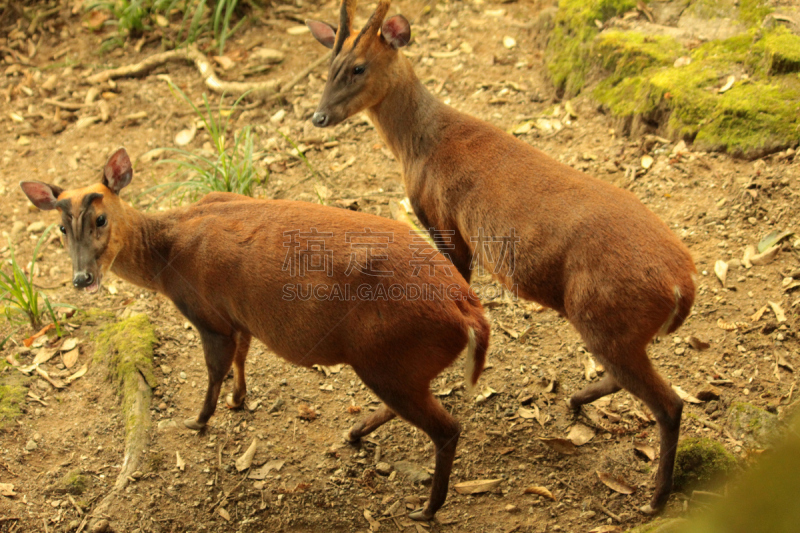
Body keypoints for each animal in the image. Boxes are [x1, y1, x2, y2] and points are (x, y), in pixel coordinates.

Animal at [21, 145, 490, 520]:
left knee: (447, 428)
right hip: (397, 364)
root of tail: (468, 310)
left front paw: (198, 420)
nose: (82, 278)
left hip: (387, 354)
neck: (165, 258)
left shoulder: (207, 314)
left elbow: (215, 369)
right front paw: (238, 399)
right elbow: (242, 356)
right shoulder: (236, 315)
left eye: (101, 218)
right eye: (61, 228)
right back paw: (356, 433)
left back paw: (427, 509)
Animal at [310, 0, 696, 516]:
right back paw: (577, 401)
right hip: (618, 328)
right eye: (328, 65)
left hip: (603, 315)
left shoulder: (444, 221)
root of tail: (683, 283)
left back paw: (655, 498)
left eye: (358, 67)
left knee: (669, 404)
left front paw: (367, 424)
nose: (319, 116)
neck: (420, 143)